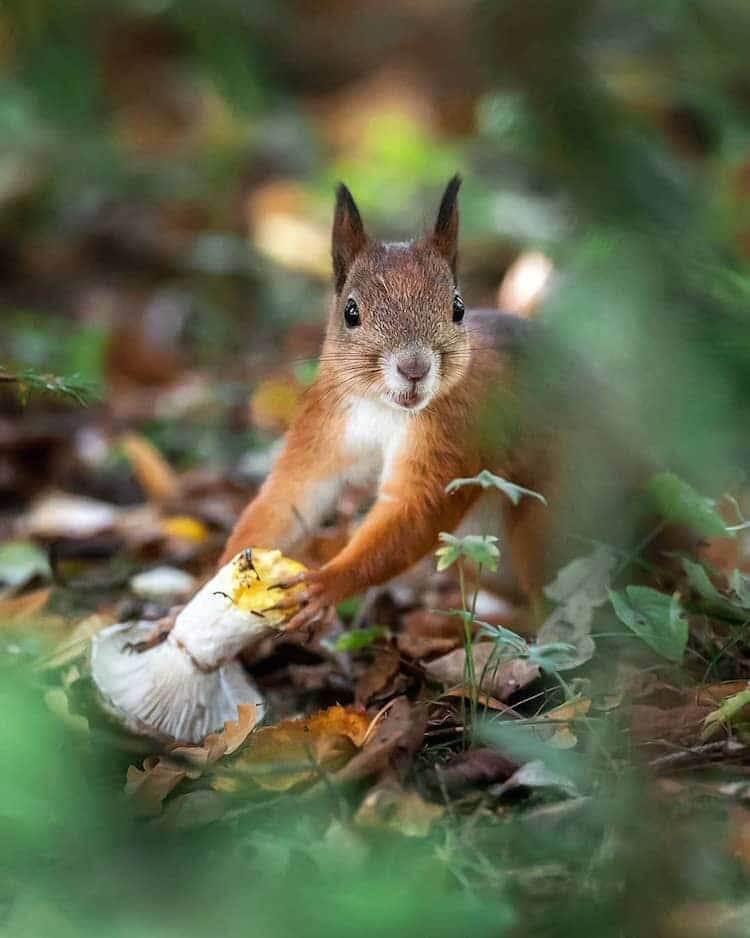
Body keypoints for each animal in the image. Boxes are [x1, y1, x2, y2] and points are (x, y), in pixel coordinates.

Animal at [217, 176, 560, 628]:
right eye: (351, 312)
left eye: (458, 307)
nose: (414, 368)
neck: (383, 409)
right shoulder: (322, 425)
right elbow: (288, 498)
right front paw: (203, 589)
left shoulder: (459, 436)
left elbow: (413, 514)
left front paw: (326, 583)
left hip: (545, 524)